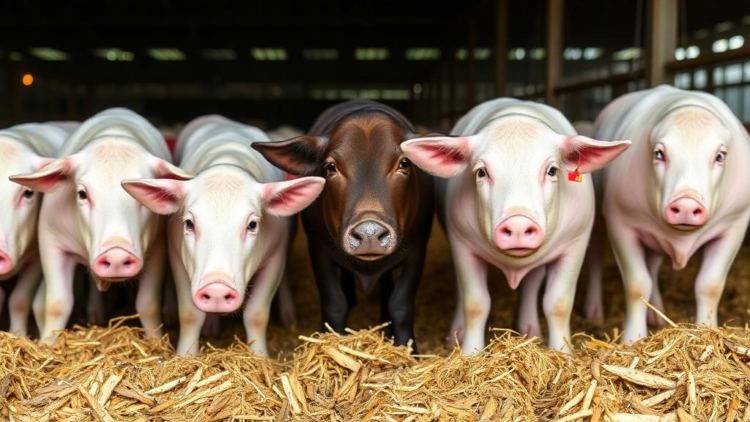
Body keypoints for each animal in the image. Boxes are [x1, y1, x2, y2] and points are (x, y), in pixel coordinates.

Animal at [10, 108, 189, 343]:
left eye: (138, 194)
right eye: (82, 193)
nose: (116, 254)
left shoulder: (159, 246)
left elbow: (148, 304)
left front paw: (155, 342)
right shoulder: (51, 240)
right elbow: (57, 303)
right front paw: (46, 345)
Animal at [122, 116, 324, 356]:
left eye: (252, 224)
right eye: (189, 223)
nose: (217, 288)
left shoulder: (276, 255)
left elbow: (257, 314)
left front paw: (261, 357)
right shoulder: (176, 254)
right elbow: (189, 314)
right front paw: (184, 355)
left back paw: (289, 317)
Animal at [253, 100, 434, 352]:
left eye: (404, 163)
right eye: (331, 166)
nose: (370, 232)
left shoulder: (418, 247)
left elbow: (401, 304)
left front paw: (409, 350)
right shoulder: (318, 247)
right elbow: (334, 303)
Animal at [400, 98, 630, 354]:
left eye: (552, 170)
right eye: (481, 172)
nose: (518, 223)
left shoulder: (576, 241)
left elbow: (558, 303)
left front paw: (564, 353)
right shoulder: (460, 240)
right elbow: (475, 303)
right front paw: (469, 353)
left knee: (531, 283)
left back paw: (531, 332)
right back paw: (454, 337)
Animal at [584, 85, 750, 341]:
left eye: (720, 156)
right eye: (659, 153)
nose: (686, 204)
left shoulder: (736, 223)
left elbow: (710, 285)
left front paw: (706, 328)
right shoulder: (620, 220)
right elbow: (636, 284)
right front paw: (633, 338)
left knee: (653, 266)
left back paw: (658, 314)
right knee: (596, 260)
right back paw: (594, 313)